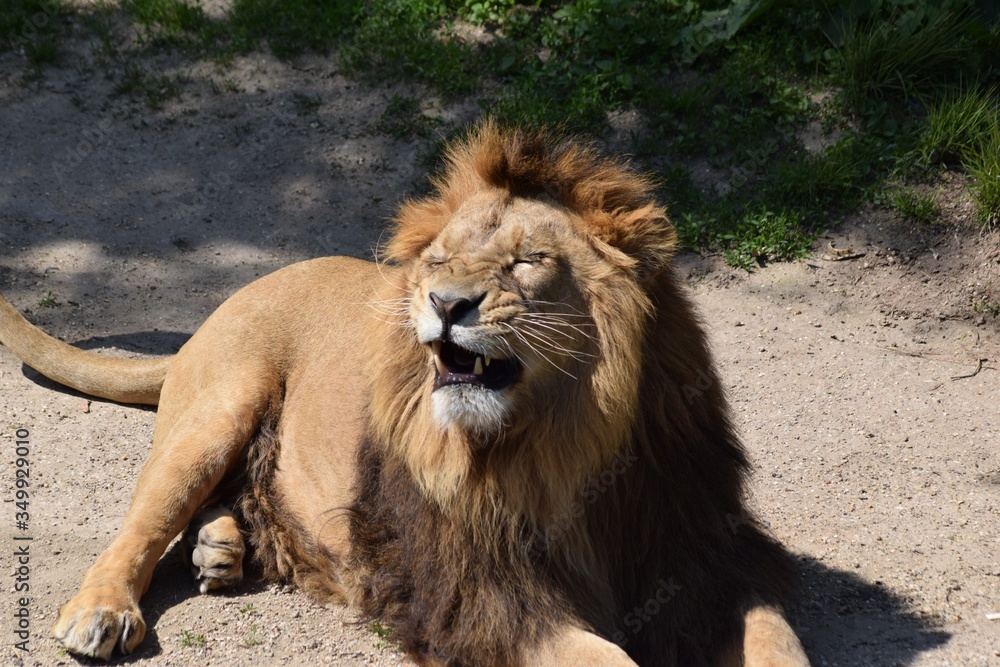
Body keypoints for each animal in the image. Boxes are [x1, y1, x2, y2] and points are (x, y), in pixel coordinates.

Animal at [0, 122, 809, 666]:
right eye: (440, 260)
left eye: (528, 260)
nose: (446, 303)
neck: (571, 446)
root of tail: (216, 308)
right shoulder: (485, 594)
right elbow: (606, 656)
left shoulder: (701, 558)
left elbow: (778, 640)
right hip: (218, 409)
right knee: (139, 526)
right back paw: (103, 611)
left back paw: (221, 547)